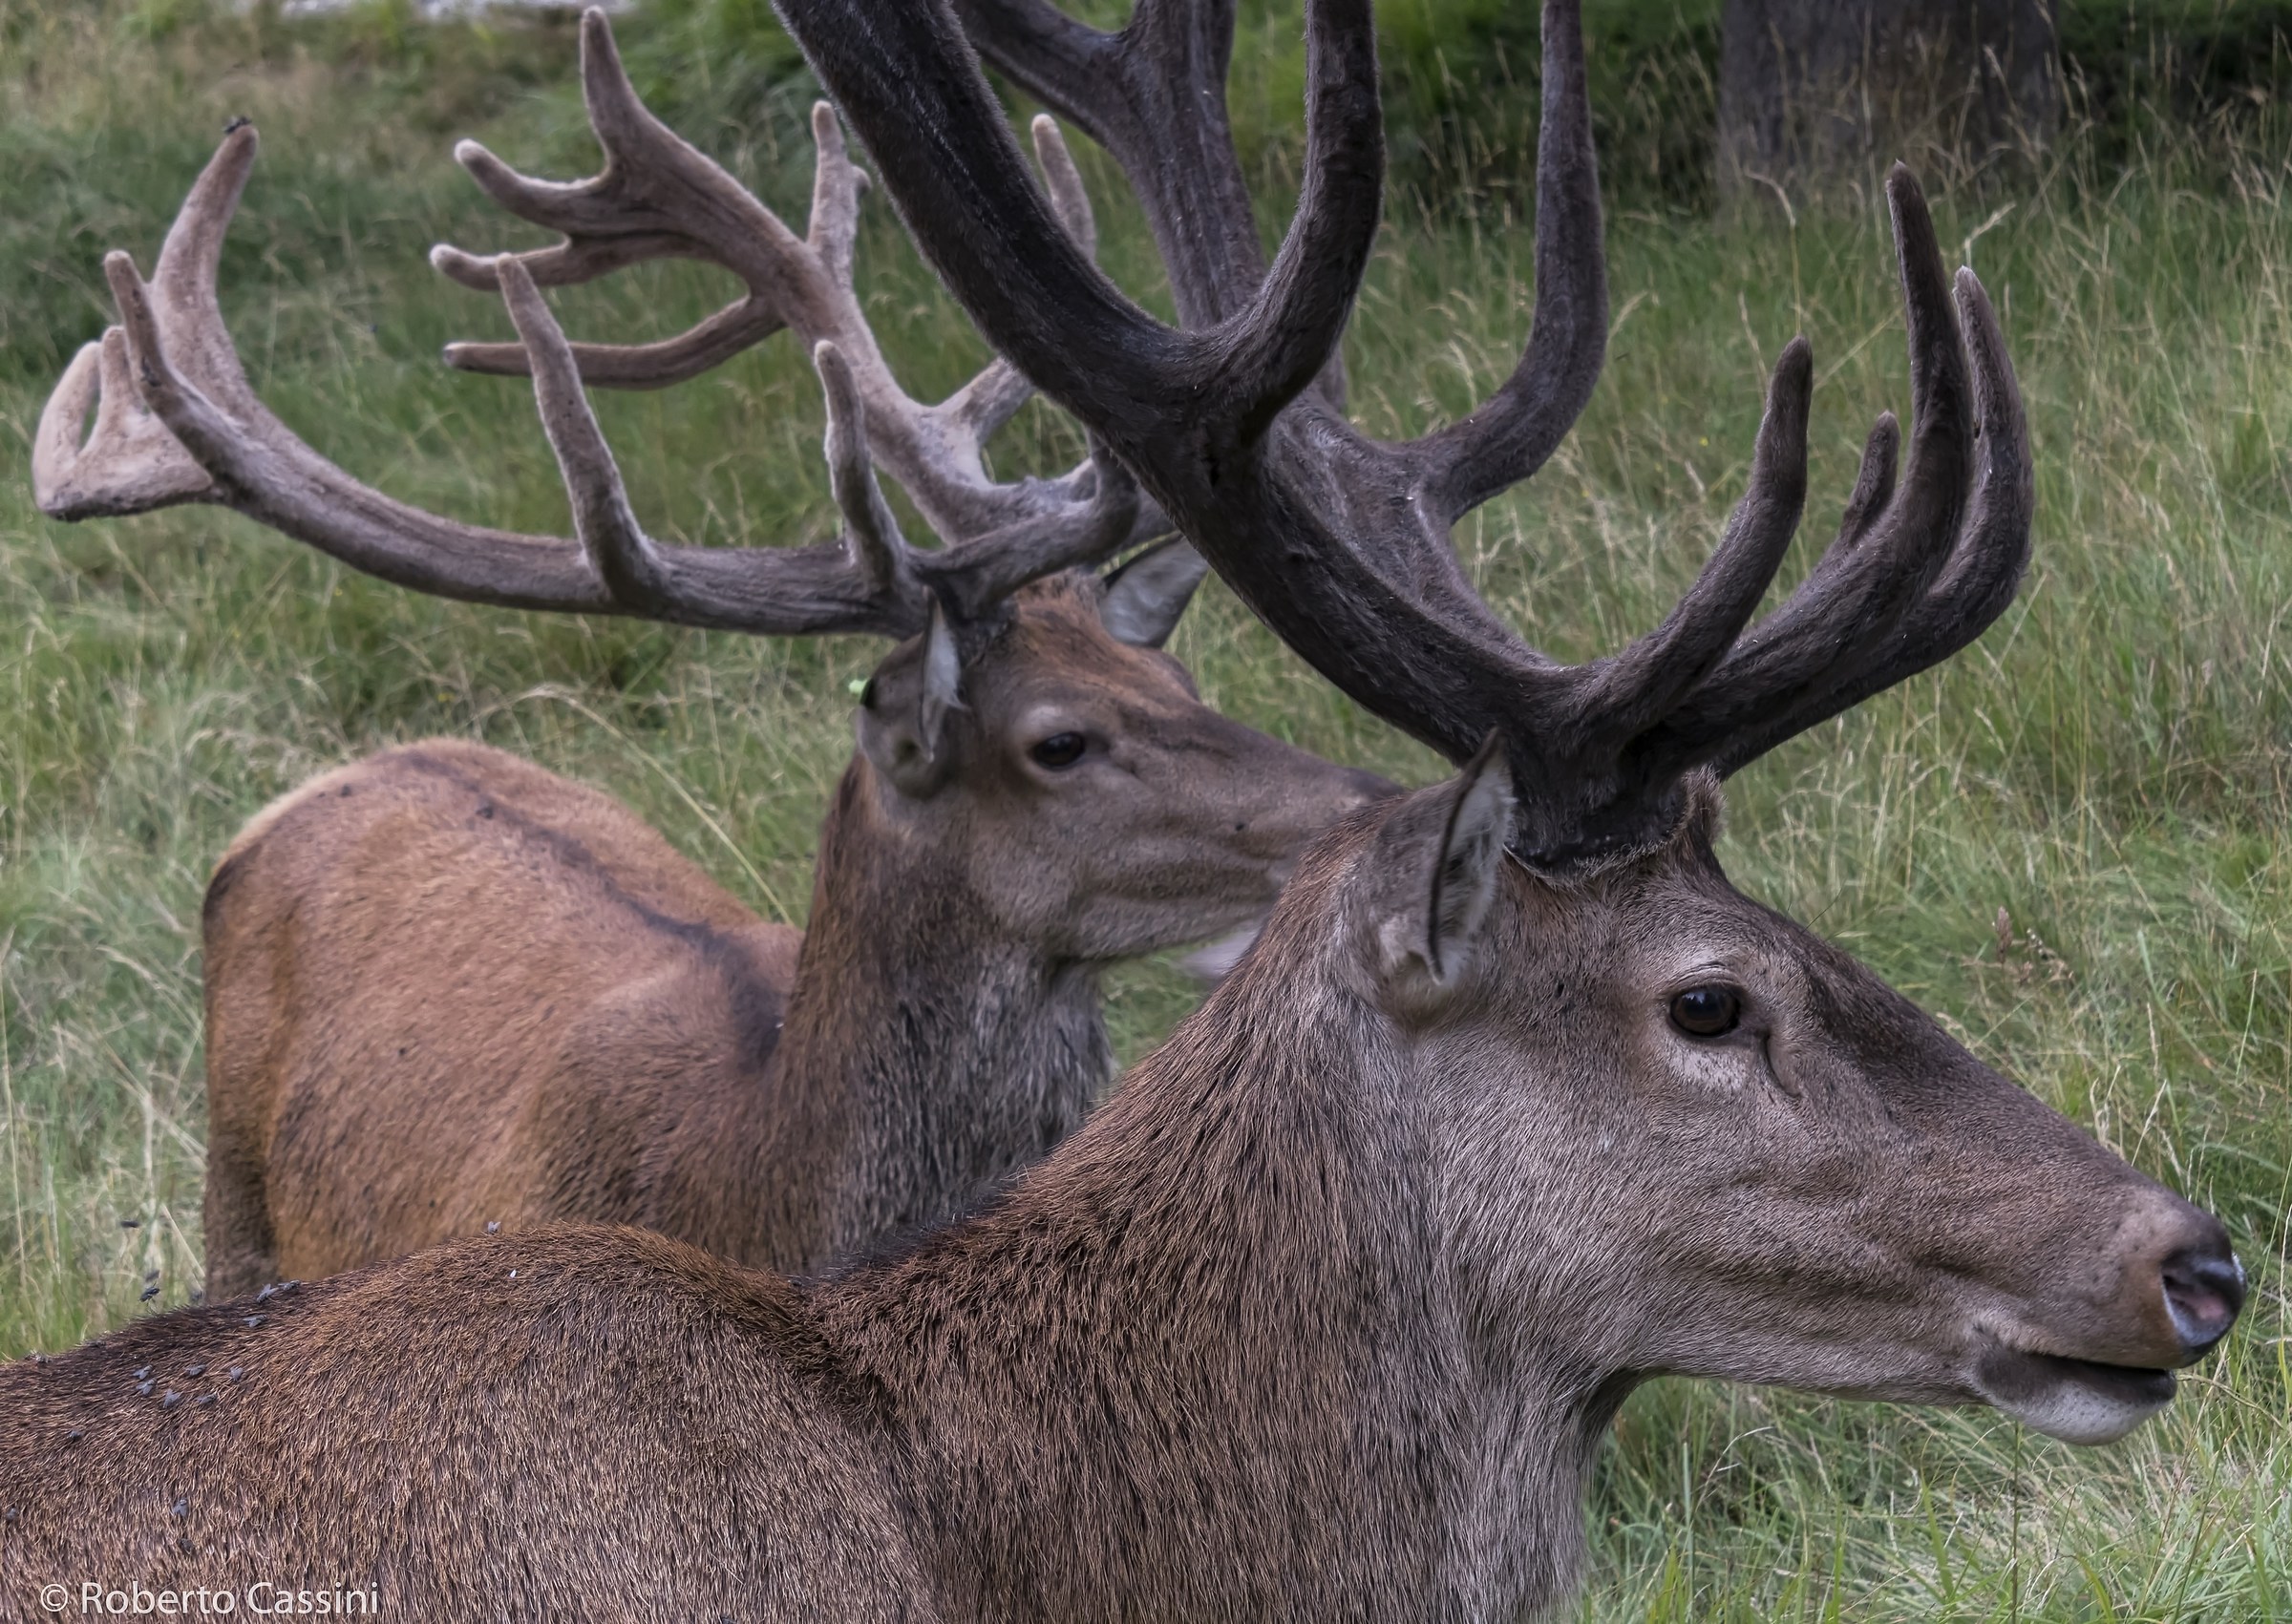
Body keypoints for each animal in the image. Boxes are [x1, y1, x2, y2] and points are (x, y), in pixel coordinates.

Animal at [28, 33, 1390, 1294]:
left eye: (1183, 685)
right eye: (1059, 740)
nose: (1366, 802)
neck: (749, 1190)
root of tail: (314, 788)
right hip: (232, 1209)